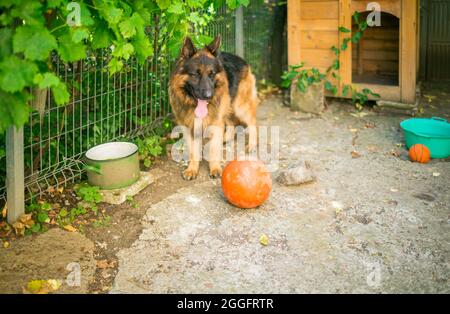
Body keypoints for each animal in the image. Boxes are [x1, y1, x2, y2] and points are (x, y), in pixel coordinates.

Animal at [169, 35, 258, 180]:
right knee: (231, 122)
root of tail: (240, 58)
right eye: (196, 74)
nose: (208, 95)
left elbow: (213, 149)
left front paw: (215, 168)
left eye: (212, 74)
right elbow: (193, 151)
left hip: (239, 106)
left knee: (252, 122)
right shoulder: (189, 127)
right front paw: (192, 169)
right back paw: (226, 138)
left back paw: (251, 144)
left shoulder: (215, 123)